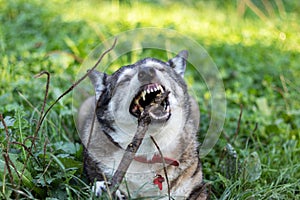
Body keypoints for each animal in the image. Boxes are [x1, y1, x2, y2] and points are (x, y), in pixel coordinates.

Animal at [77, 50, 207, 198]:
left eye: (159, 69)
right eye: (125, 80)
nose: (146, 72)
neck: (148, 150)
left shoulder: (196, 188)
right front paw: (103, 188)